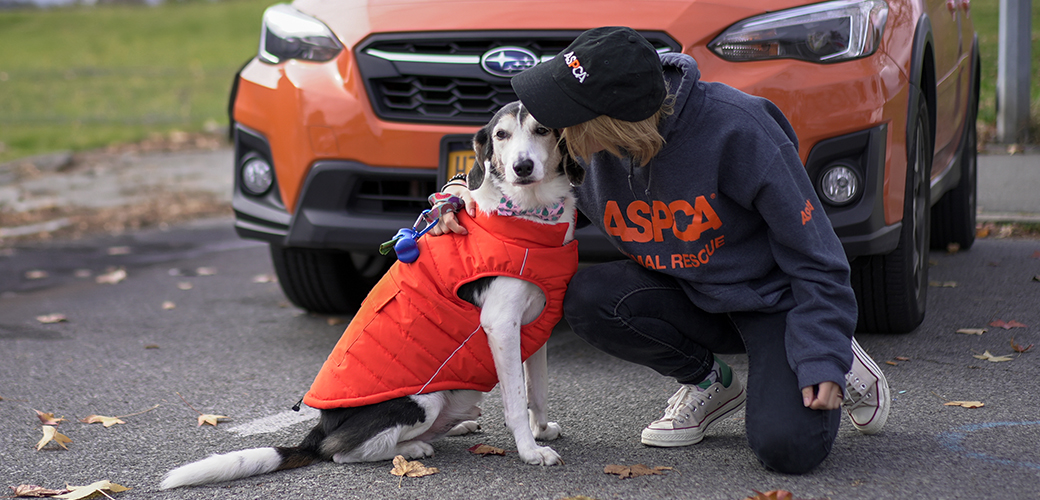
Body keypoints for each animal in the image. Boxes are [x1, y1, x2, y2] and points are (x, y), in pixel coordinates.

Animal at [160, 101, 586, 486]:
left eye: (542, 130)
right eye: (501, 136)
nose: (522, 167)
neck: (529, 216)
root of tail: (318, 431)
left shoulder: (533, 330)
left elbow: (537, 392)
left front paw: (540, 430)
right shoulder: (500, 325)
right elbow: (515, 401)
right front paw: (530, 451)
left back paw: (451, 429)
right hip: (423, 400)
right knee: (342, 452)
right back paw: (412, 448)